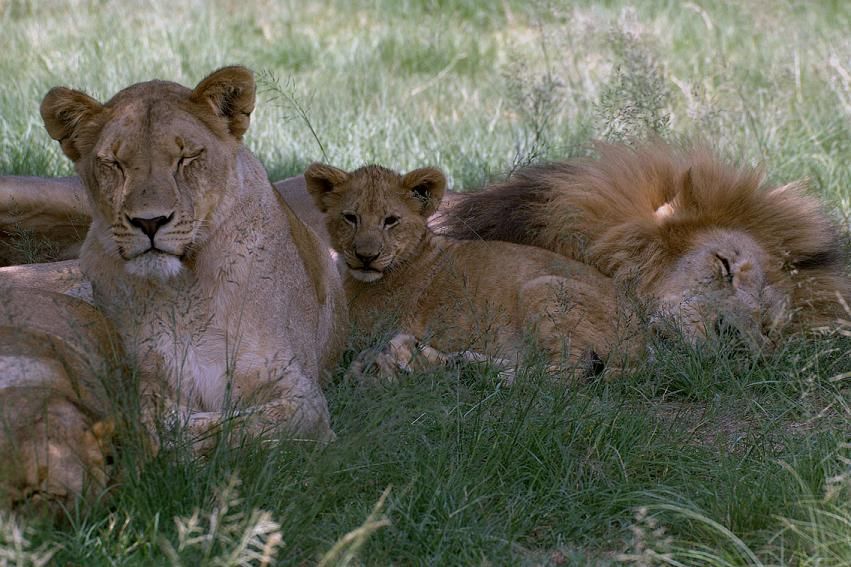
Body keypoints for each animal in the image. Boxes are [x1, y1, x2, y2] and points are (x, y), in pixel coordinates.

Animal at [39, 66, 346, 446]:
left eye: (186, 158)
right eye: (115, 163)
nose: (149, 221)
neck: (182, 288)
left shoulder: (301, 392)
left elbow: (238, 426)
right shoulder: (143, 378)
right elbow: (159, 417)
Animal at [304, 162, 640, 380]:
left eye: (391, 220)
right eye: (350, 217)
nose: (366, 257)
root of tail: (644, 341)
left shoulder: (362, 332)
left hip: (542, 288)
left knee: (571, 371)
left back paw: (496, 379)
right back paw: (456, 361)